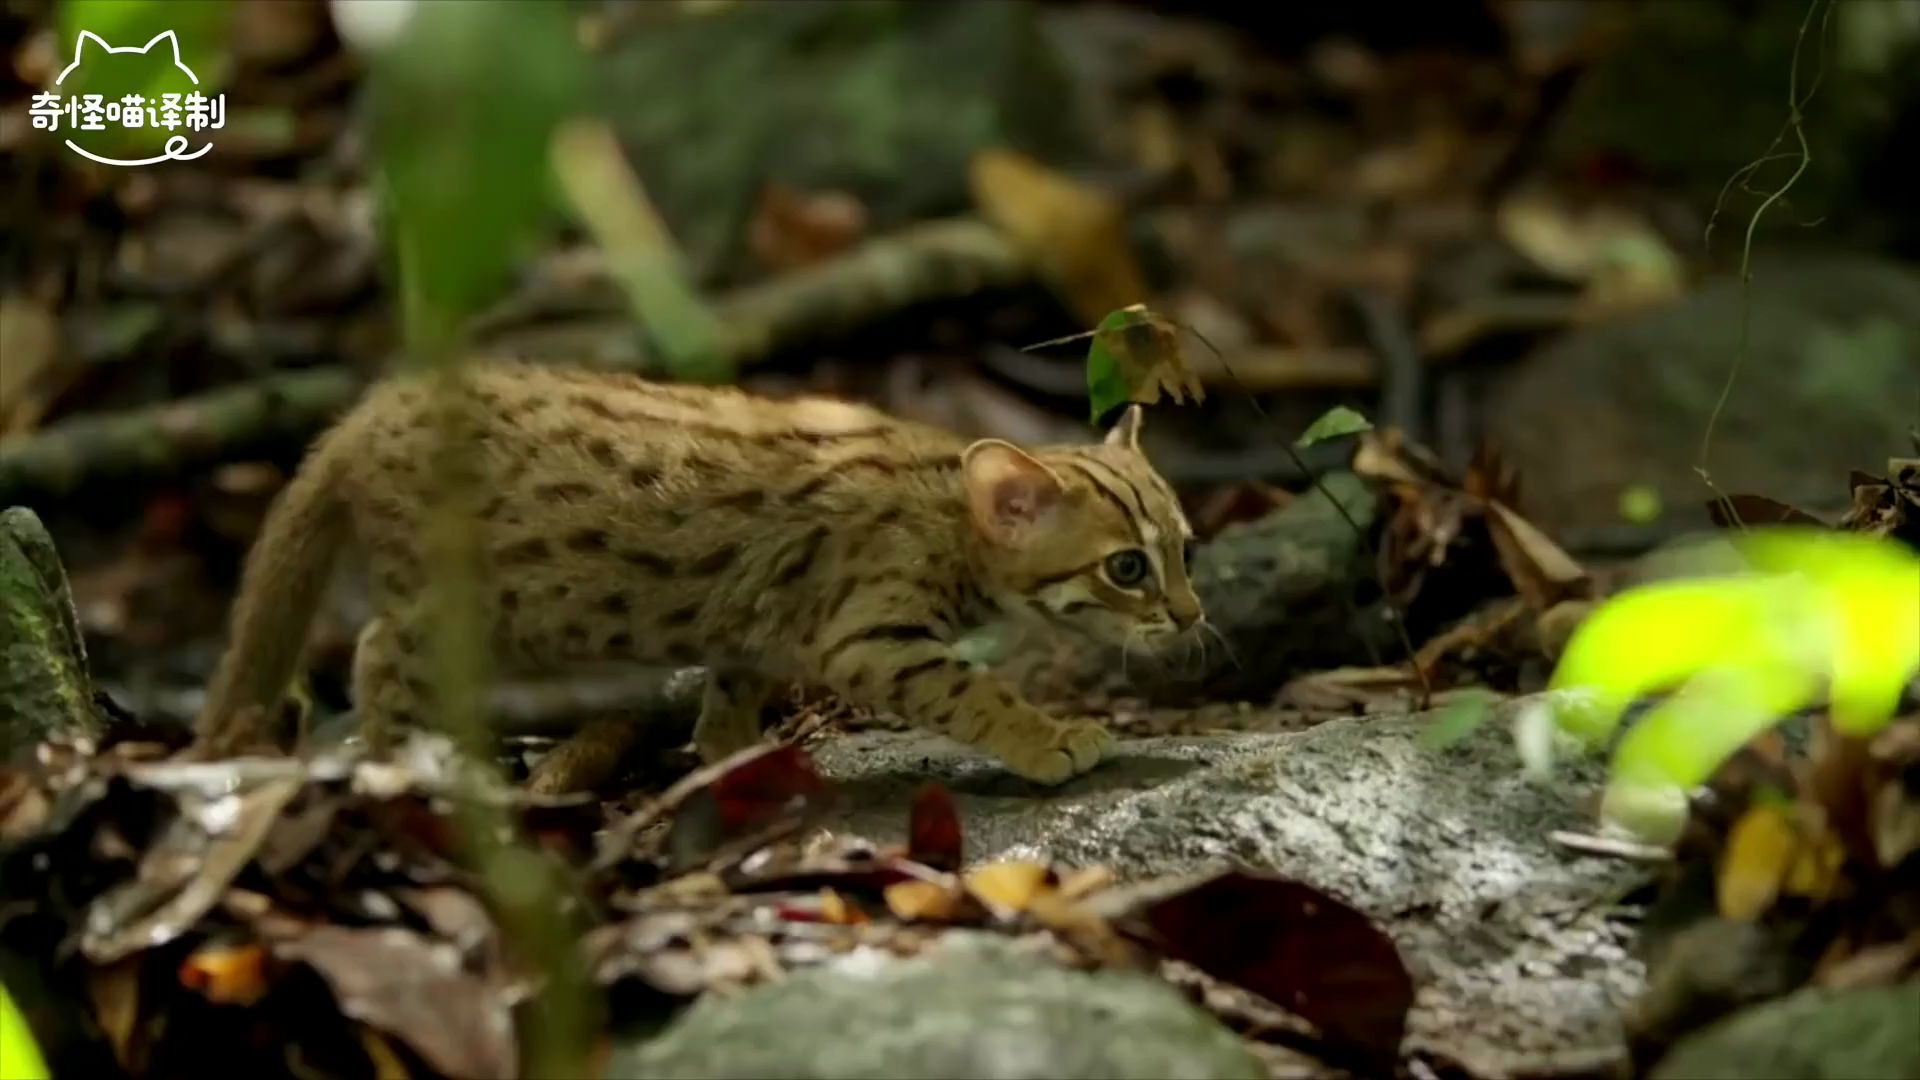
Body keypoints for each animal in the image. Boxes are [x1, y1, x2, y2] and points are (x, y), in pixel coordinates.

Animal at [191, 357, 1198, 787]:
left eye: (1186, 548)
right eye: (1127, 568)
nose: (1192, 618)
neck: (947, 501)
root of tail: (369, 412)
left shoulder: (759, 628)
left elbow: (729, 698)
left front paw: (735, 758)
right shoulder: (870, 635)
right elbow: (975, 690)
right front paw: (1048, 739)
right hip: (476, 606)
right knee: (375, 649)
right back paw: (410, 761)